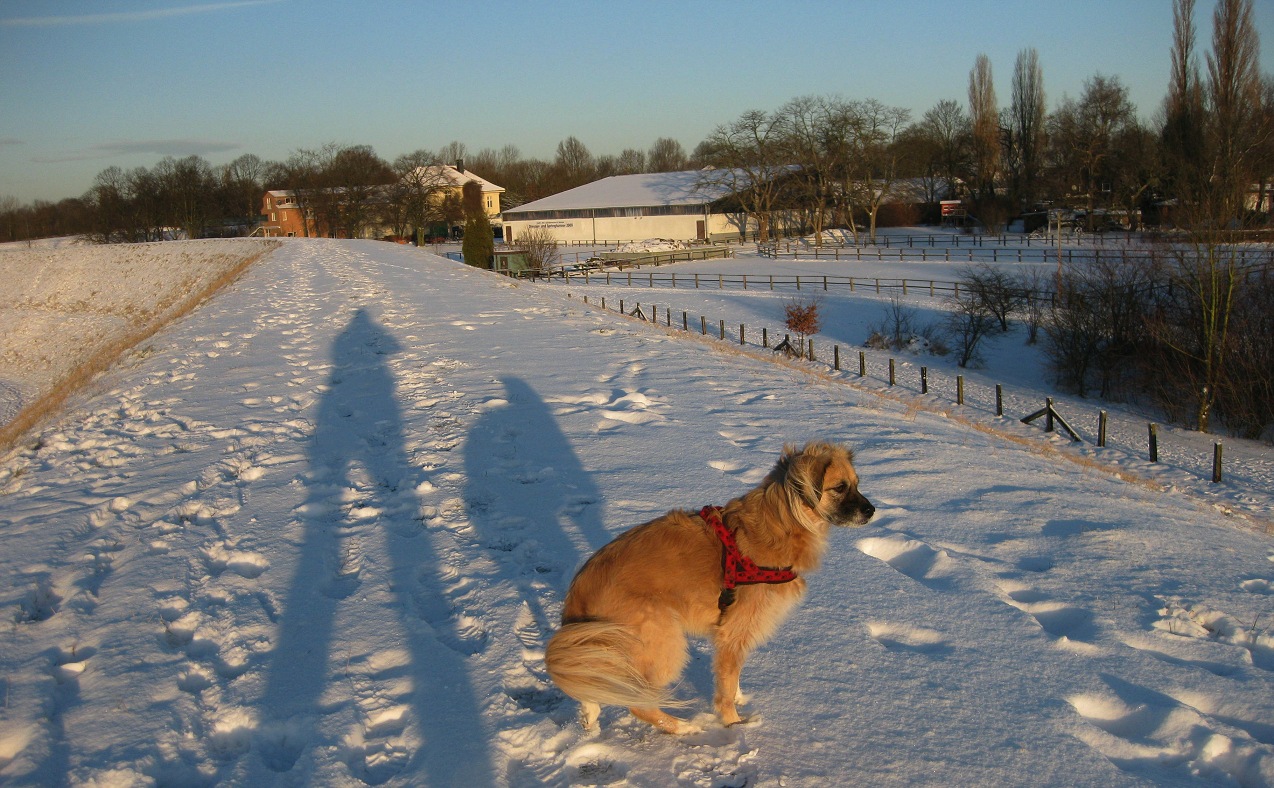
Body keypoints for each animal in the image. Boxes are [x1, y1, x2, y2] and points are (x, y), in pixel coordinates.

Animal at [542, 440, 871, 738]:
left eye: (856, 484)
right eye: (839, 488)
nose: (872, 510)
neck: (781, 522)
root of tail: (578, 592)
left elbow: (732, 676)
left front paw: (740, 698)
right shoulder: (732, 632)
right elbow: (726, 685)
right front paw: (734, 724)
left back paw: (591, 717)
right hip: (664, 641)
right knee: (639, 704)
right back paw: (683, 727)